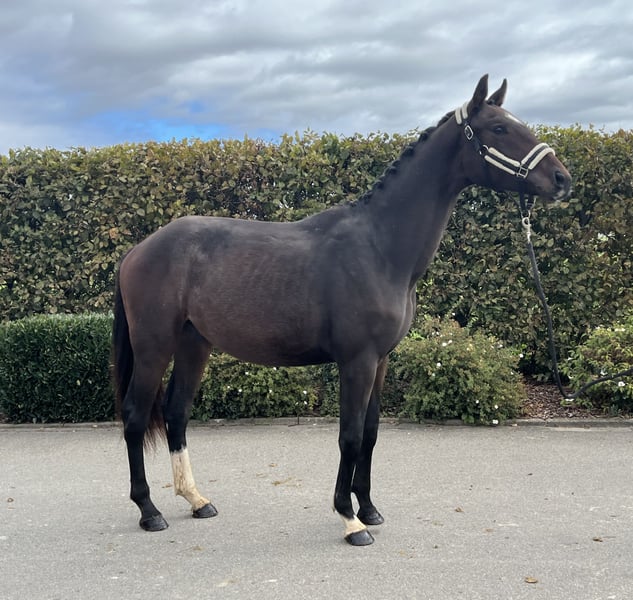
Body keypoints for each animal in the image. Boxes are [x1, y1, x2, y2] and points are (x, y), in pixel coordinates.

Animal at [112, 75, 571, 546]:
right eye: (499, 128)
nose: (562, 178)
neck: (379, 247)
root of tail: (138, 250)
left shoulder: (381, 360)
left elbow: (369, 433)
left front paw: (368, 508)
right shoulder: (358, 360)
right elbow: (349, 436)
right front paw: (350, 520)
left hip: (194, 344)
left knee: (176, 413)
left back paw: (197, 500)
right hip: (153, 347)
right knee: (134, 417)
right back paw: (149, 510)